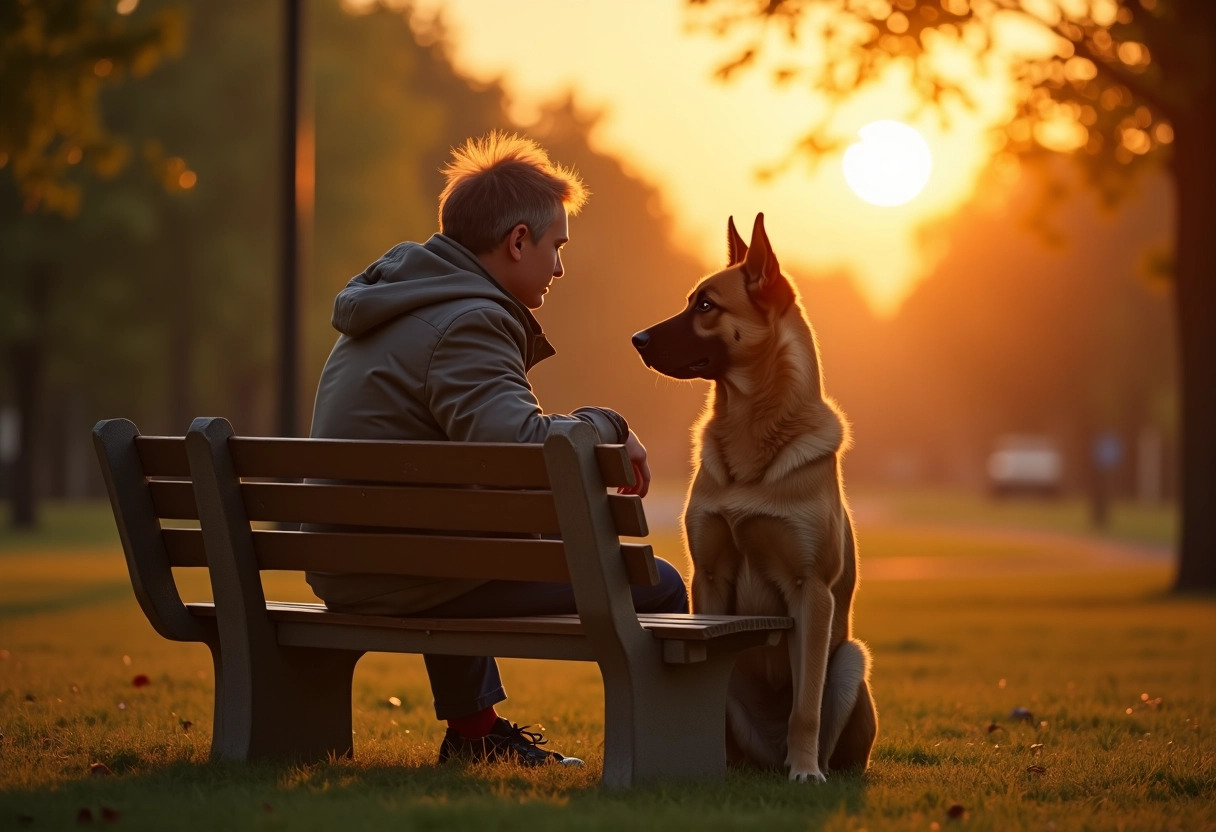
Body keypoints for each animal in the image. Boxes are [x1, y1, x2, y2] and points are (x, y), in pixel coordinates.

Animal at [637, 212, 875, 778]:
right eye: (691, 300)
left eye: (706, 306)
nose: (636, 339)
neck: (753, 430)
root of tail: (764, 759)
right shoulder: (710, 577)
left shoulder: (811, 590)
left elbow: (805, 705)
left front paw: (805, 771)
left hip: (850, 659)